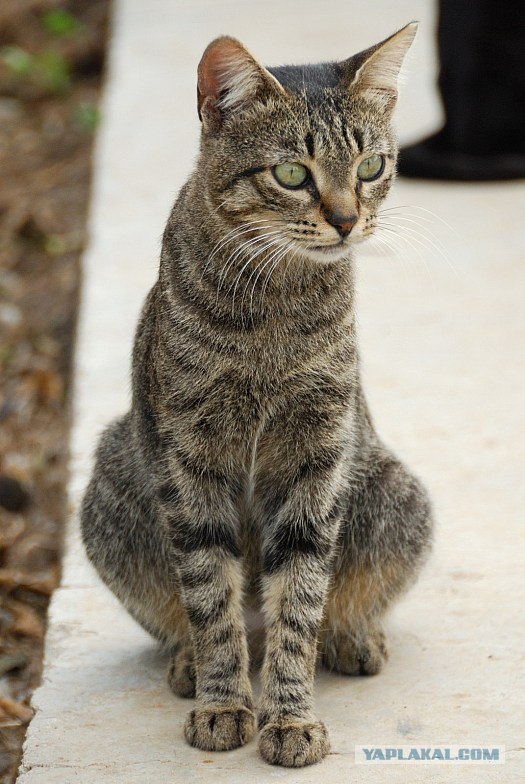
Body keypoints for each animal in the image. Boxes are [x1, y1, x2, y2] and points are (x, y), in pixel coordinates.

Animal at [81, 23, 430, 764]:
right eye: (291, 173)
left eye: (369, 167)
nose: (346, 221)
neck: (274, 304)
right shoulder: (188, 458)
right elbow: (211, 599)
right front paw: (224, 703)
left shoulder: (318, 452)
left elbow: (298, 598)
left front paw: (290, 716)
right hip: (112, 481)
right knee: (208, 619)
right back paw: (192, 664)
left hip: (394, 491)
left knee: (310, 614)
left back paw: (351, 639)